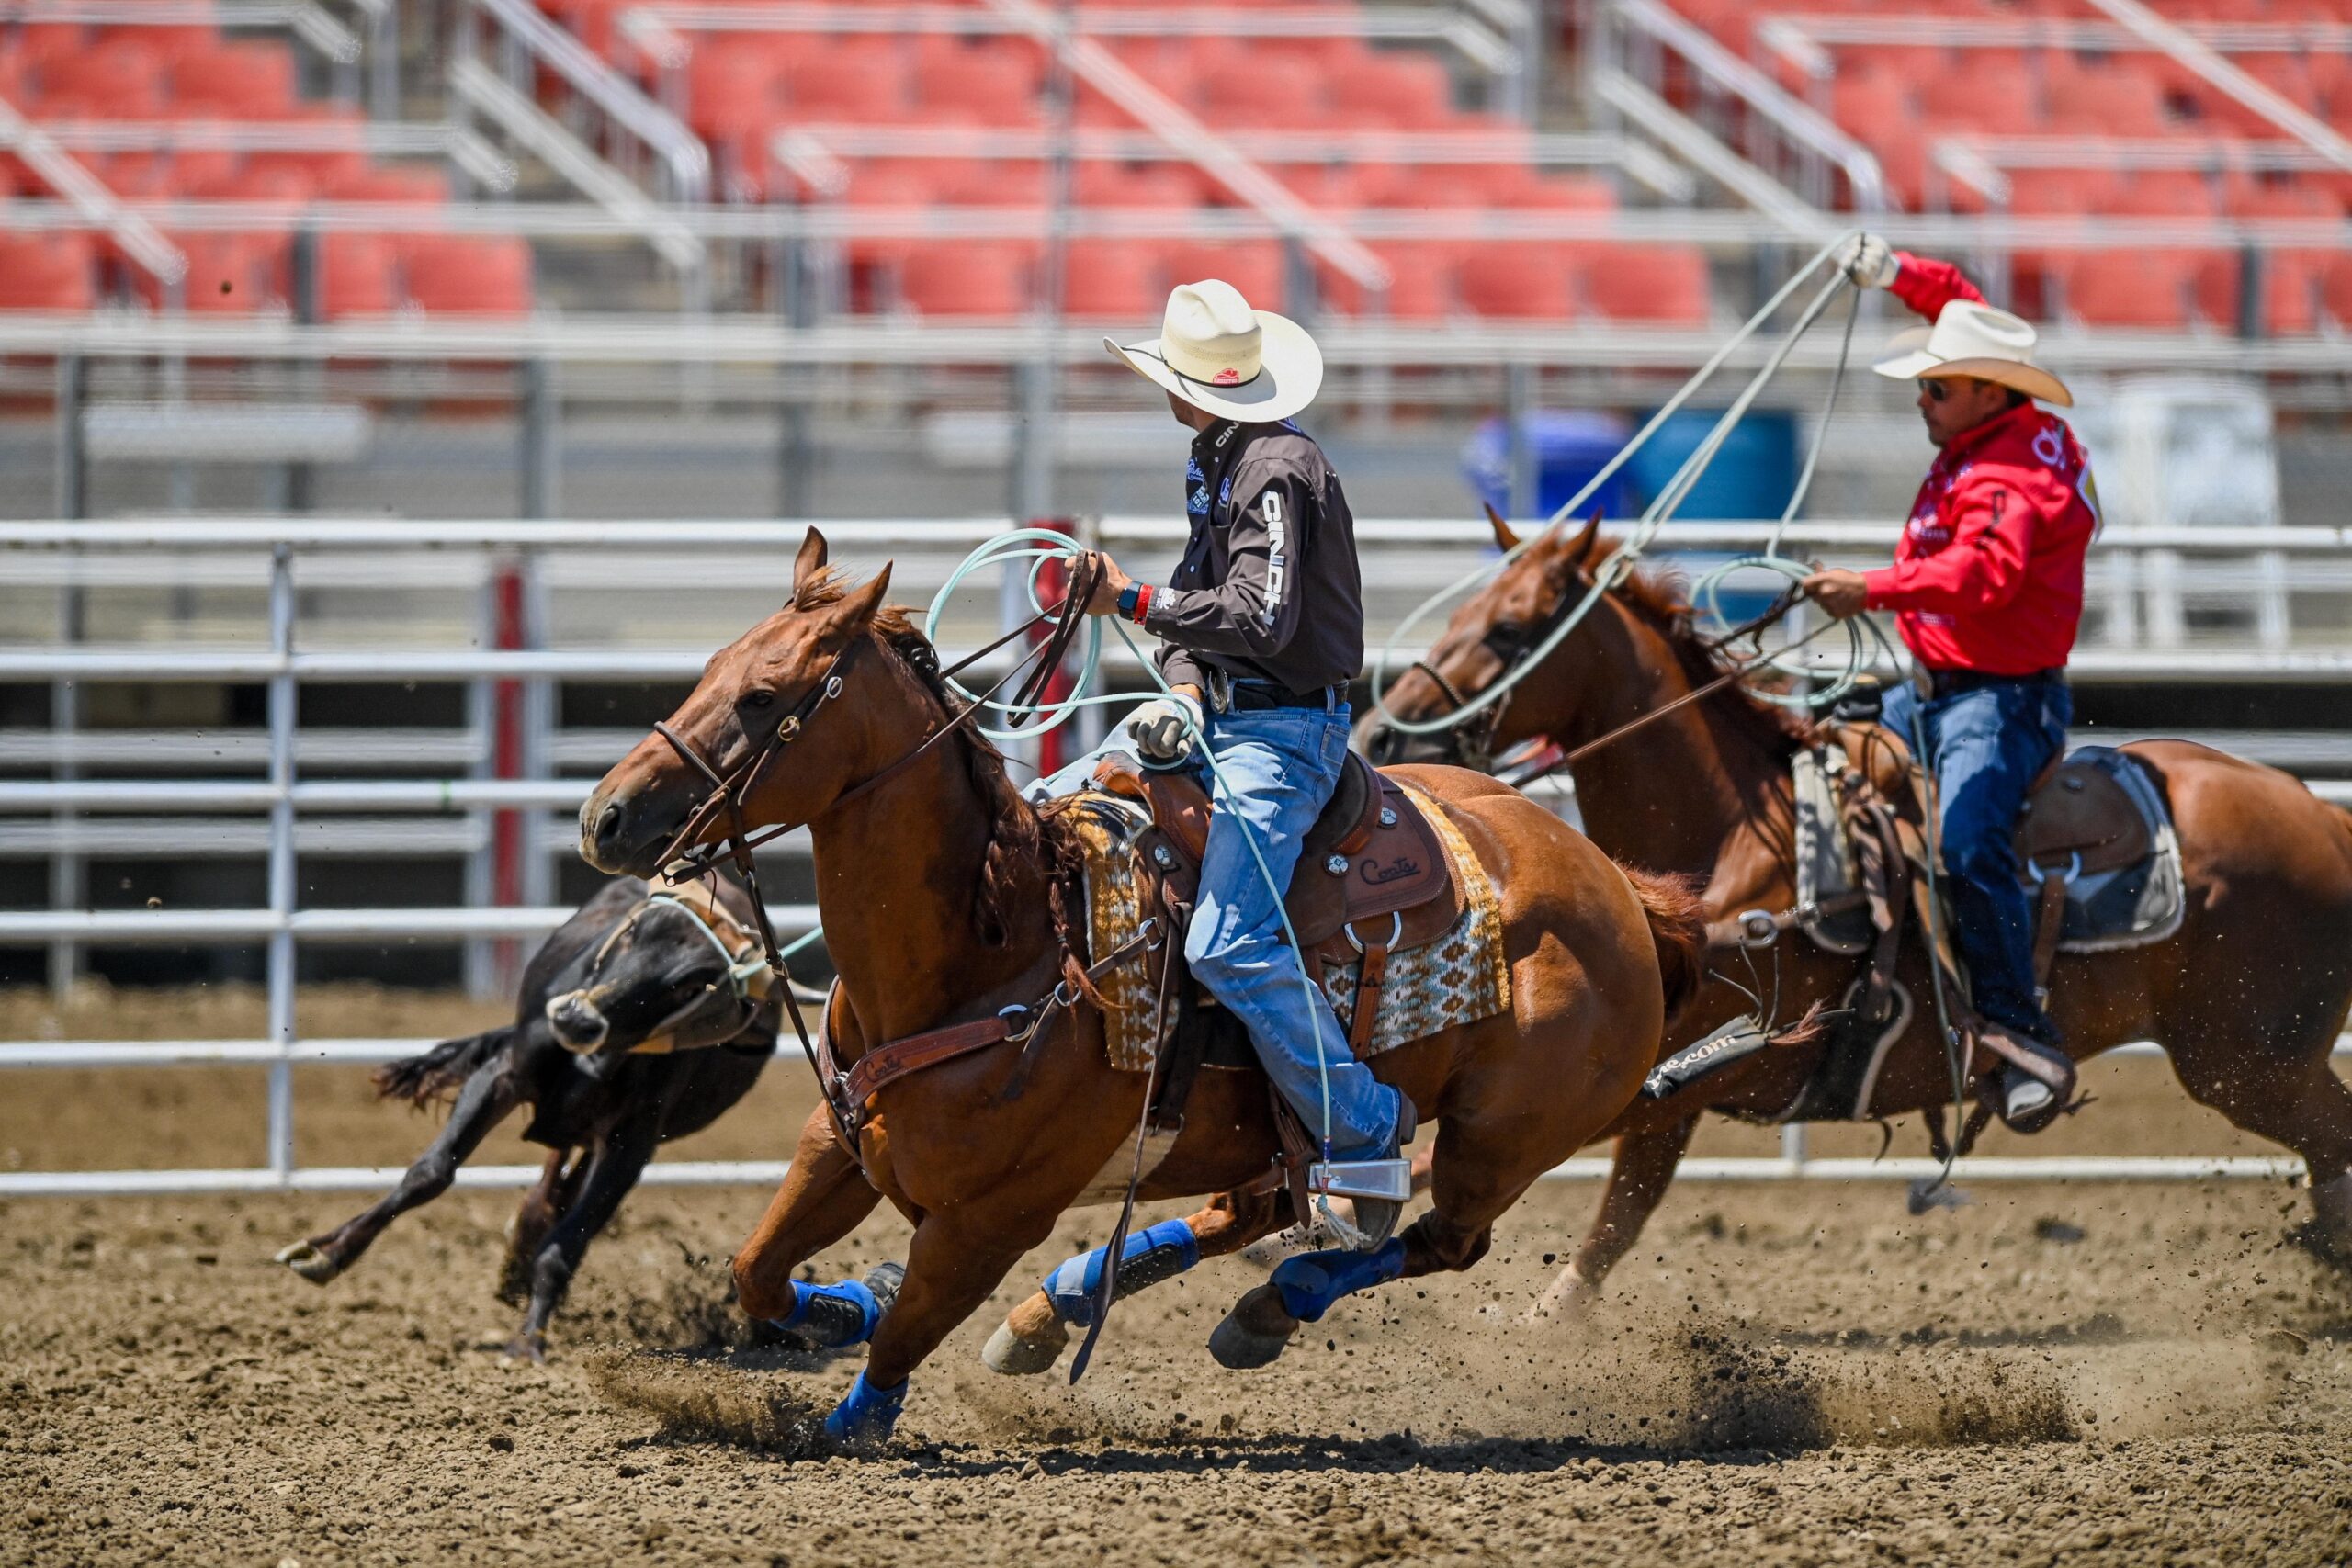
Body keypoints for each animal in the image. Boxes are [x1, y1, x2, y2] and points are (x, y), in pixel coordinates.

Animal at [578, 531, 1702, 1448]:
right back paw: (1058, 1312)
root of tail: (1616, 885)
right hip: (1268, 1131)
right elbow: (759, 1272)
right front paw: (846, 1301)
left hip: (1500, 1138)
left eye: (765, 698)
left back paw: (1263, 1308)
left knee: (1437, 1237)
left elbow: (901, 1341)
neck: (1000, 948)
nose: (605, 817)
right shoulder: (841, 1139)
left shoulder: (991, 1219)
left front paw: (853, 1409)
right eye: (711, 670)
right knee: (1256, 1209)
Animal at [1354, 514, 2352, 1316]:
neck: (1740, 843)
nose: (1381, 732)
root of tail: (2322, 815)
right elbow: (1590, 1215)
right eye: (1461, 611)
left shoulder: (1664, 1079)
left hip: (2252, 1065)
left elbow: (1579, 1204)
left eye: (1509, 628)